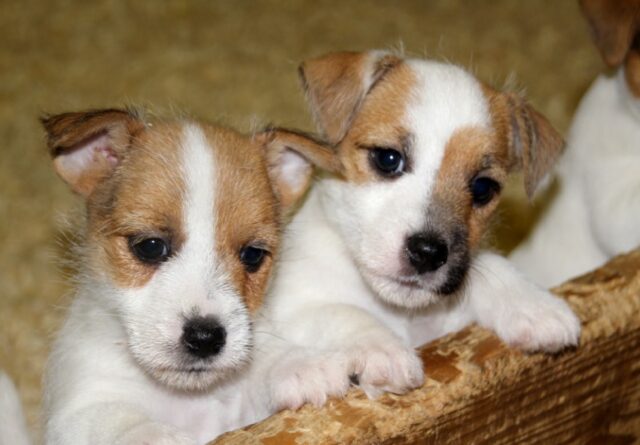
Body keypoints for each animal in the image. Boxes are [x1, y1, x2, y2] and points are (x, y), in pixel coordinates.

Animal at [23, 108, 336, 444]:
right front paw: (153, 434)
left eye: (252, 254)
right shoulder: (79, 412)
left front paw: (295, 364)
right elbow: (117, 420)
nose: (205, 338)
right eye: (150, 247)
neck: (187, 399)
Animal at [242, 51, 584, 420]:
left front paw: (532, 303)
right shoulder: (296, 311)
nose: (428, 253)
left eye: (482, 188)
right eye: (388, 159)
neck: (405, 314)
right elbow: (344, 312)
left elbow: (489, 268)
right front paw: (382, 349)